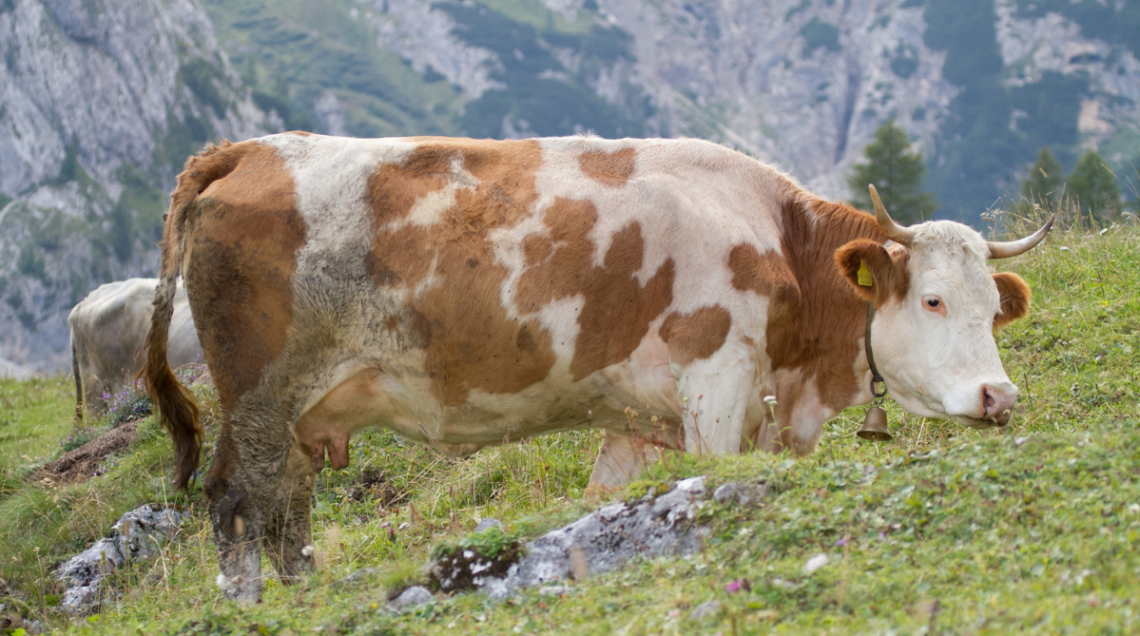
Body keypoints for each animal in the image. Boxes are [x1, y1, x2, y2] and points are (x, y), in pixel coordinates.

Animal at [142, 133, 1050, 601]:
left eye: (991, 308)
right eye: (932, 299)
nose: (998, 394)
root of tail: (257, 146)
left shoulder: (642, 419)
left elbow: (605, 502)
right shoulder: (717, 388)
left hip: (303, 407)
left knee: (286, 503)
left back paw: (304, 586)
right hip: (258, 394)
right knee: (236, 500)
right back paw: (252, 604)